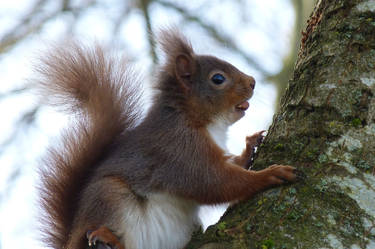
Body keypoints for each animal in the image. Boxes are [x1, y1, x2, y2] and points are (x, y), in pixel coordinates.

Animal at [36, 29, 300, 249]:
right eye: (218, 79)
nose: (252, 82)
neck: (201, 122)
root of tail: (70, 239)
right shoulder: (178, 149)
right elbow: (216, 182)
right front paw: (270, 175)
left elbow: (231, 166)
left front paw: (250, 145)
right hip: (109, 197)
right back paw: (108, 237)